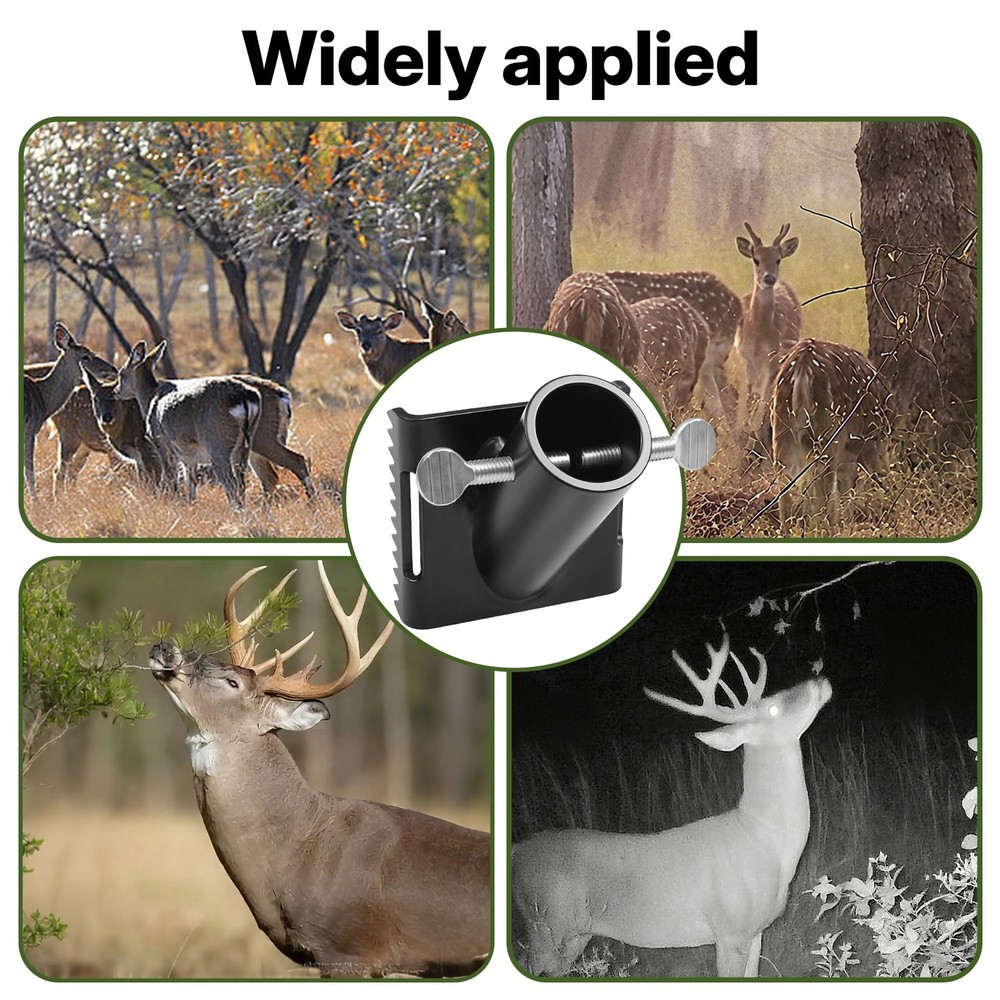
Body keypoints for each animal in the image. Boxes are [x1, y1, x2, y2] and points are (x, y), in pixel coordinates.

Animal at [23, 322, 117, 498]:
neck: (43, 398)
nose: (113, 369)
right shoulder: (30, 429)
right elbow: (29, 470)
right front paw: (35, 501)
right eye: (86, 356)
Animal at [112, 340, 261, 505]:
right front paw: (191, 505)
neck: (149, 401)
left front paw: (174, 503)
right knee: (241, 483)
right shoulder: (188, 454)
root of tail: (245, 400)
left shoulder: (161, 442)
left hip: (218, 444)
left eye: (121, 373)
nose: (115, 391)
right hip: (244, 447)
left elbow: (171, 478)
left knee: (231, 485)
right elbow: (191, 482)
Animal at [513, 632, 832, 978]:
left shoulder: (757, 931)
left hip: (574, 936)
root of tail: (518, 850)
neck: (767, 842)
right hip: (545, 924)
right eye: (773, 708)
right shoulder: (730, 931)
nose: (820, 680)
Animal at [734, 223, 802, 457]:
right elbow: (750, 398)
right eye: (756, 259)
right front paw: (745, 434)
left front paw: (756, 437)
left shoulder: (772, 358)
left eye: (778, 259)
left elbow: (763, 398)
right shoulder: (746, 358)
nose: (769, 278)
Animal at [771, 338, 892, 532]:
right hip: (829, 433)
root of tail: (803, 367)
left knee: (786, 487)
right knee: (823, 488)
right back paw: (828, 528)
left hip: (782, 431)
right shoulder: (870, 445)